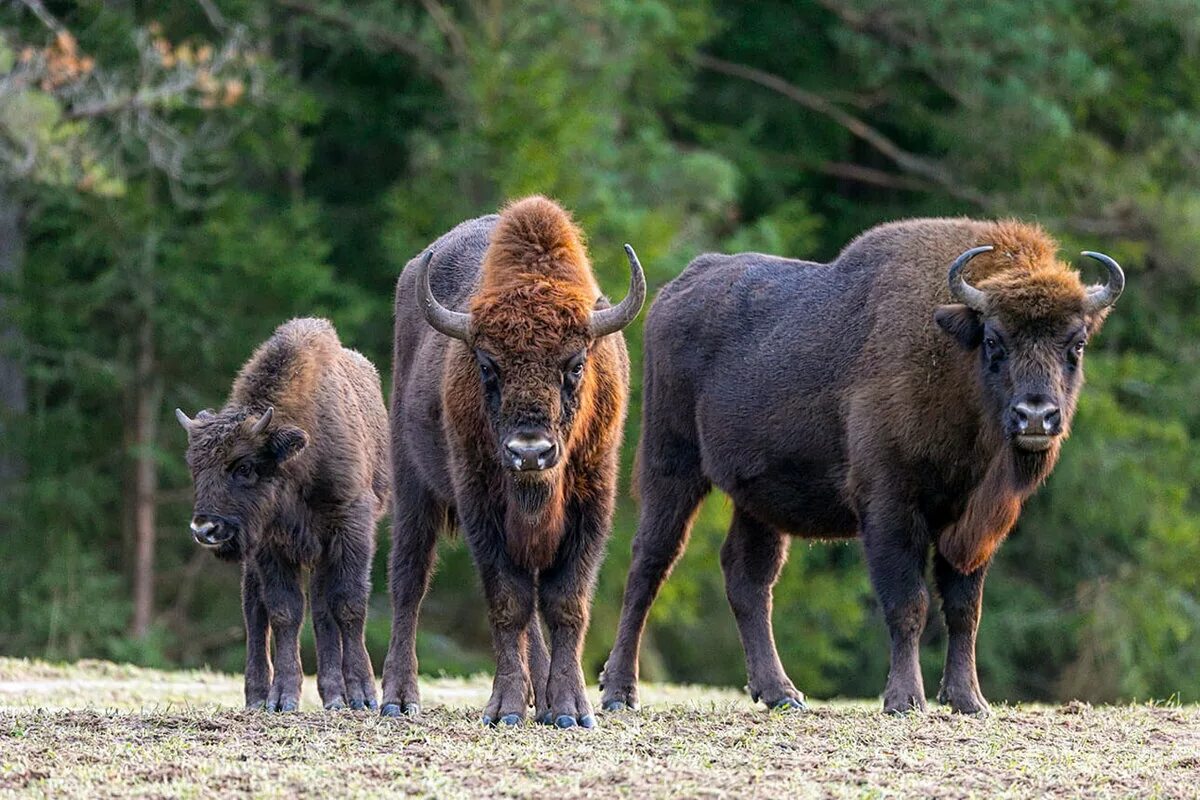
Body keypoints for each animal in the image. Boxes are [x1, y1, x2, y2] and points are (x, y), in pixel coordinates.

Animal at [175, 319, 388, 714]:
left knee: (322, 610)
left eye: (244, 467)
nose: (205, 528)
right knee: (255, 612)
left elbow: (348, 604)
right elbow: (283, 611)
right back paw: (258, 696)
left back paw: (336, 696)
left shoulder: (350, 528)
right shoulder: (269, 546)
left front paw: (363, 695)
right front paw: (283, 697)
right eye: (195, 468)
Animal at [381, 196, 648, 729]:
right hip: (412, 486)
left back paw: (539, 697)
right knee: (408, 579)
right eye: (487, 364)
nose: (530, 452)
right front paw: (504, 708)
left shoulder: (592, 502)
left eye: (576, 364)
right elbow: (508, 602)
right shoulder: (480, 505)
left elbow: (564, 603)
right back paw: (399, 699)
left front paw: (569, 709)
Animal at [600, 217, 1123, 714]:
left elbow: (964, 609)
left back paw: (781, 693)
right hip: (672, 463)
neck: (954, 361)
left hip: (757, 499)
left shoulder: (973, 523)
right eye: (994, 340)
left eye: (1076, 344)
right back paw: (618, 692)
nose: (1036, 416)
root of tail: (676, 290)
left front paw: (969, 701)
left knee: (748, 577)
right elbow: (909, 604)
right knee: (650, 561)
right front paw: (905, 701)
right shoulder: (891, 508)